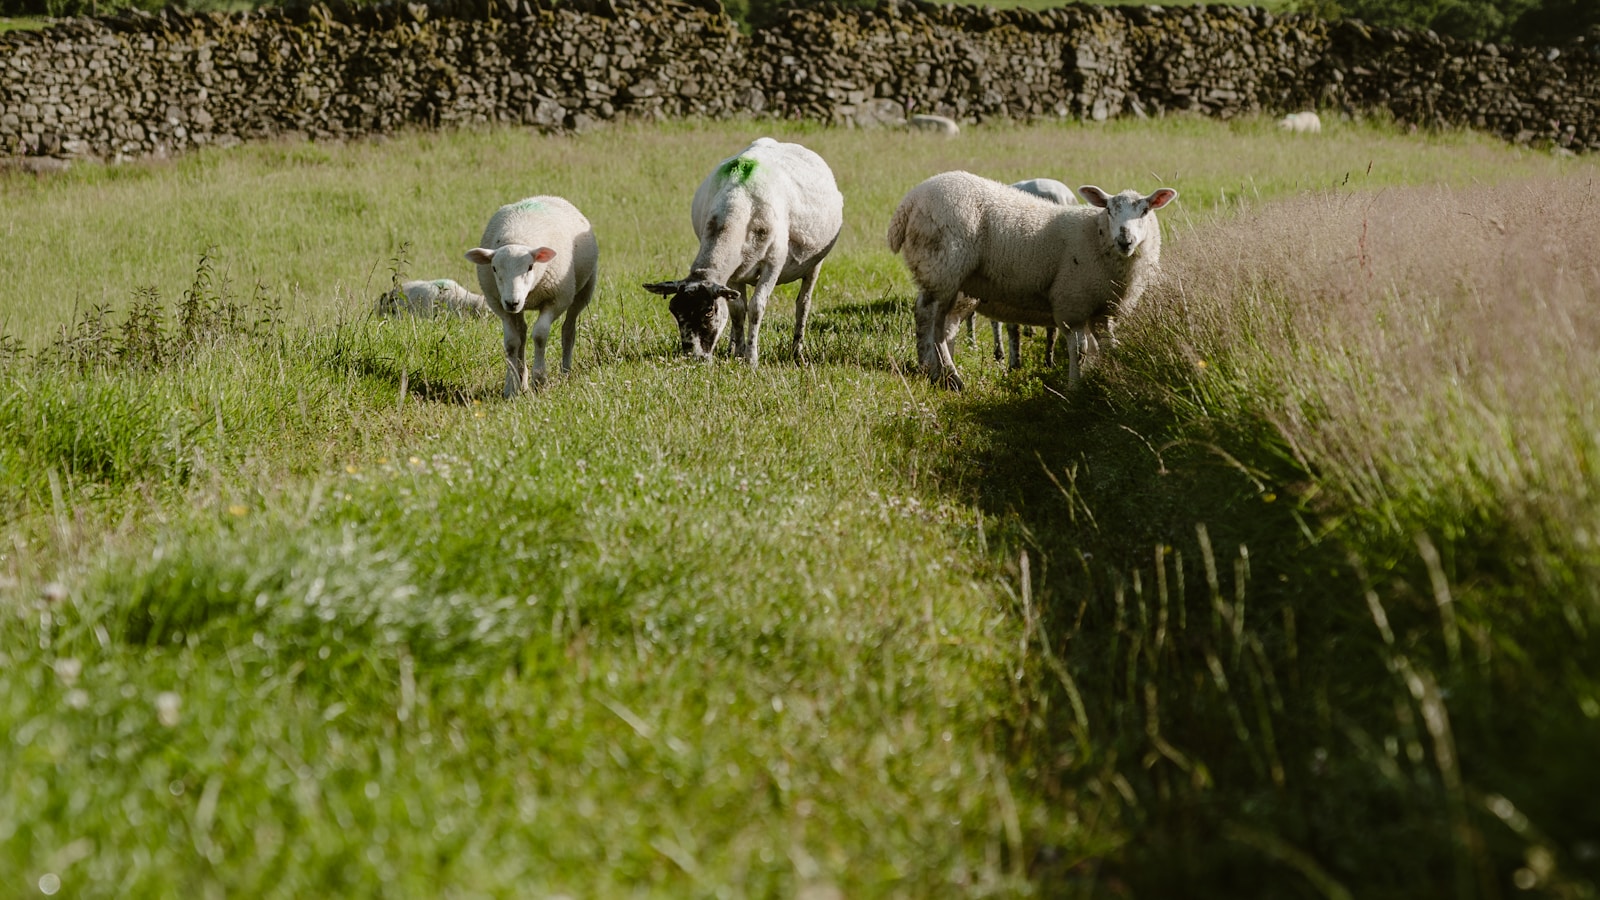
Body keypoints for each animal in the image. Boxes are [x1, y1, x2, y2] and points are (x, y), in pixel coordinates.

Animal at [465, 196, 599, 397]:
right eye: (494, 268)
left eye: (530, 267)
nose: (512, 302)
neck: (518, 237)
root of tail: (548, 196)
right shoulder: (499, 304)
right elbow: (512, 342)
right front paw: (511, 387)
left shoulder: (557, 300)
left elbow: (540, 335)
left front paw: (540, 380)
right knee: (522, 333)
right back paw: (522, 379)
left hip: (583, 291)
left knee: (568, 330)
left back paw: (565, 372)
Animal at [642, 137, 843, 367]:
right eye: (674, 310)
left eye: (708, 312)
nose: (694, 358)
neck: (735, 204)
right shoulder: (732, 273)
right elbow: (737, 309)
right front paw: (738, 353)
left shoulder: (773, 263)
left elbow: (756, 308)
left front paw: (751, 358)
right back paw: (731, 347)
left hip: (815, 263)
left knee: (803, 303)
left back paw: (797, 353)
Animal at [887, 170, 1177, 390]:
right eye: (1108, 209)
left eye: (1145, 211)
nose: (1125, 240)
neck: (1095, 236)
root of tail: (909, 201)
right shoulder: (1071, 302)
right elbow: (1079, 350)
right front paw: (1075, 388)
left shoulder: (1102, 310)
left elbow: (1106, 349)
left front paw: (1102, 381)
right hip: (942, 266)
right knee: (927, 318)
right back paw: (941, 372)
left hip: (955, 282)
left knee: (944, 326)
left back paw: (940, 374)